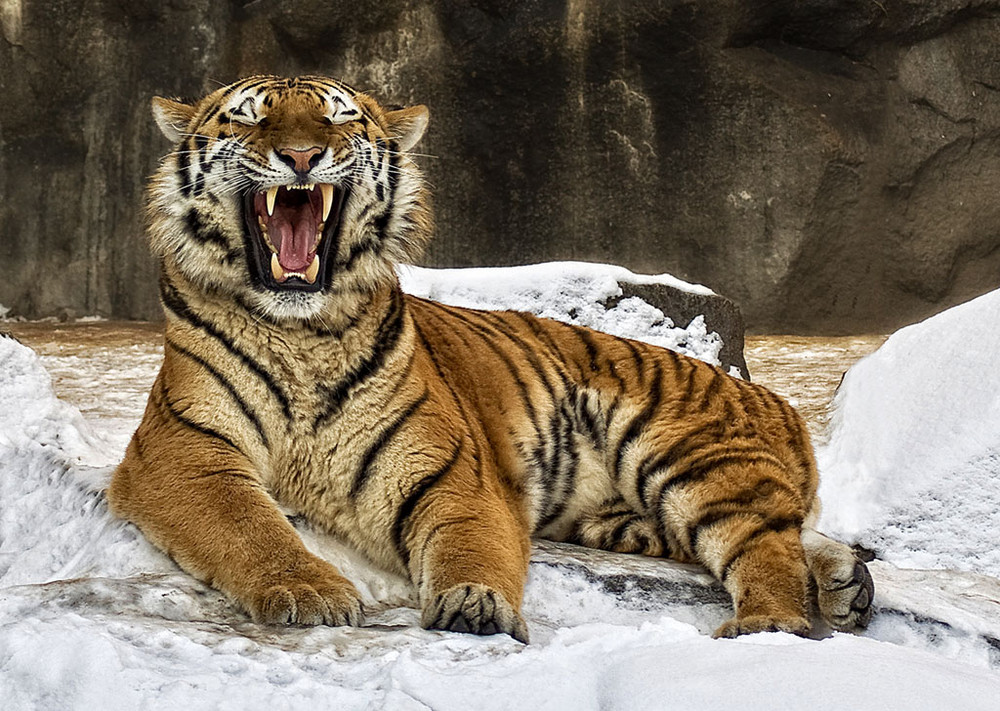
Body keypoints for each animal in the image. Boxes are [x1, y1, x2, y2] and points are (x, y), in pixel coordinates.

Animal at [109, 75, 872, 644]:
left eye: (338, 121)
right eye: (251, 120)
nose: (301, 157)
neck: (302, 333)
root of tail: (772, 398)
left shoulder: (452, 470)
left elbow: (469, 541)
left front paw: (474, 601)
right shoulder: (183, 452)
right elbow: (249, 524)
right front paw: (310, 591)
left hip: (689, 455)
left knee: (763, 542)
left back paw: (767, 625)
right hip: (623, 513)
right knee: (781, 530)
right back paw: (845, 582)